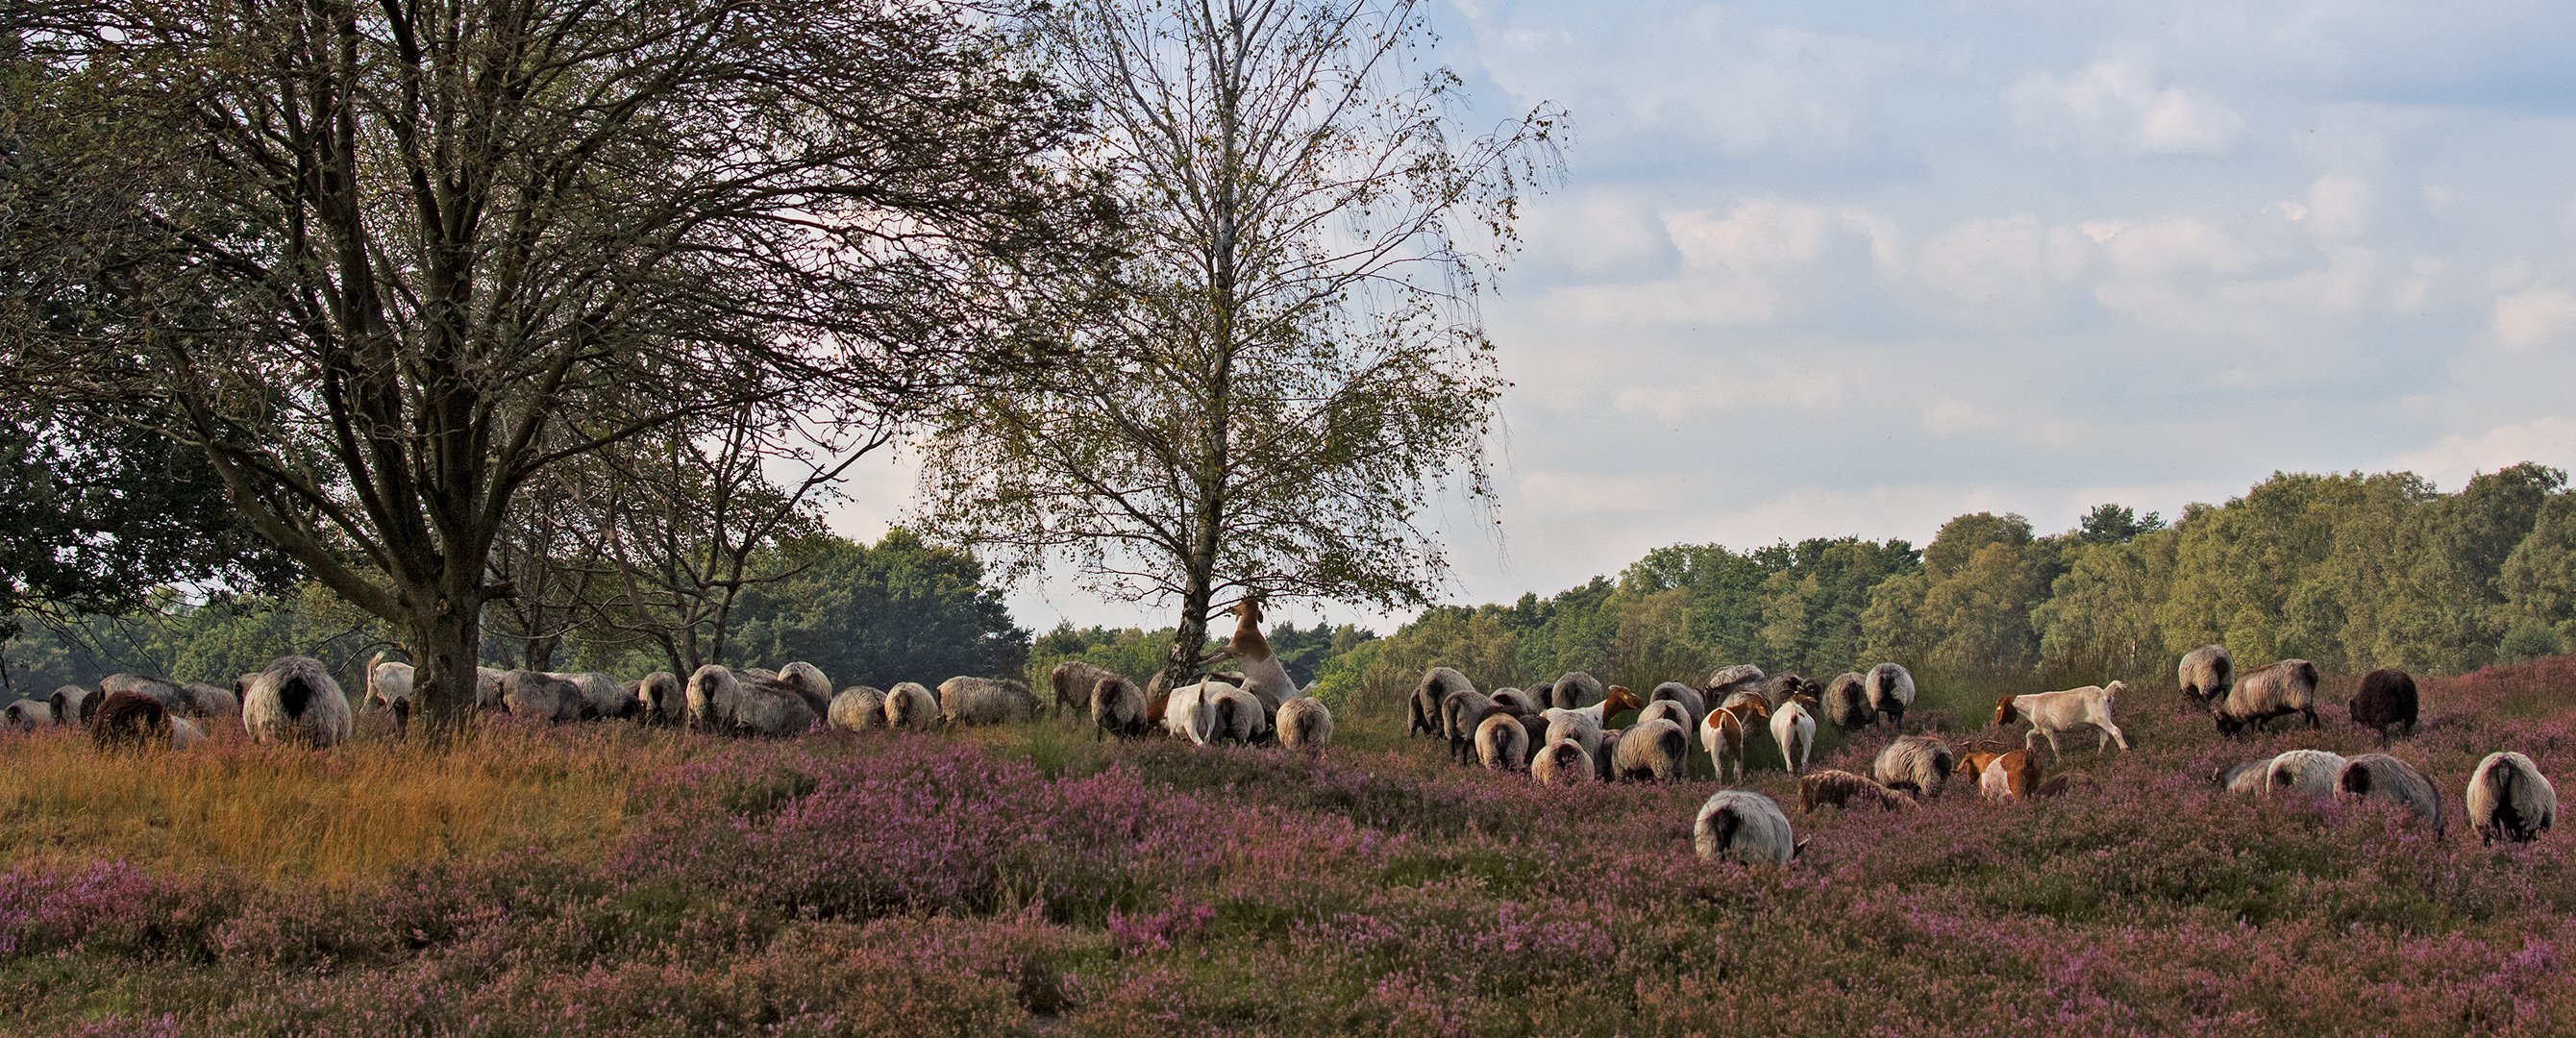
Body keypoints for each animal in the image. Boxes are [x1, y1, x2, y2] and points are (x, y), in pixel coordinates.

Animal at [1988, 684, 2133, 762]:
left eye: (1999, 708)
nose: (1994, 722)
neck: (2032, 705)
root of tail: (2104, 692)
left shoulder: (2048, 729)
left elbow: (2055, 747)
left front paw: (2059, 762)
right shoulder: (2040, 728)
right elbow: (2029, 734)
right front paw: (2030, 751)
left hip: (2102, 718)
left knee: (2116, 731)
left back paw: (2125, 752)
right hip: (2098, 724)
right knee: (2104, 739)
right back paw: (2097, 756)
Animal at [2205, 664, 2328, 736]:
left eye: (2221, 722)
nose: (2225, 739)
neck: (2232, 708)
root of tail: (2307, 667)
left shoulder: (2249, 714)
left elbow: (2252, 727)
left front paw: (2253, 738)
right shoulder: (2267, 712)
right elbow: (2261, 725)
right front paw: (2262, 734)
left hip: (2300, 697)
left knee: (2313, 715)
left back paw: (2316, 730)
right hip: (2308, 696)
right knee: (2308, 716)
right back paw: (2307, 728)